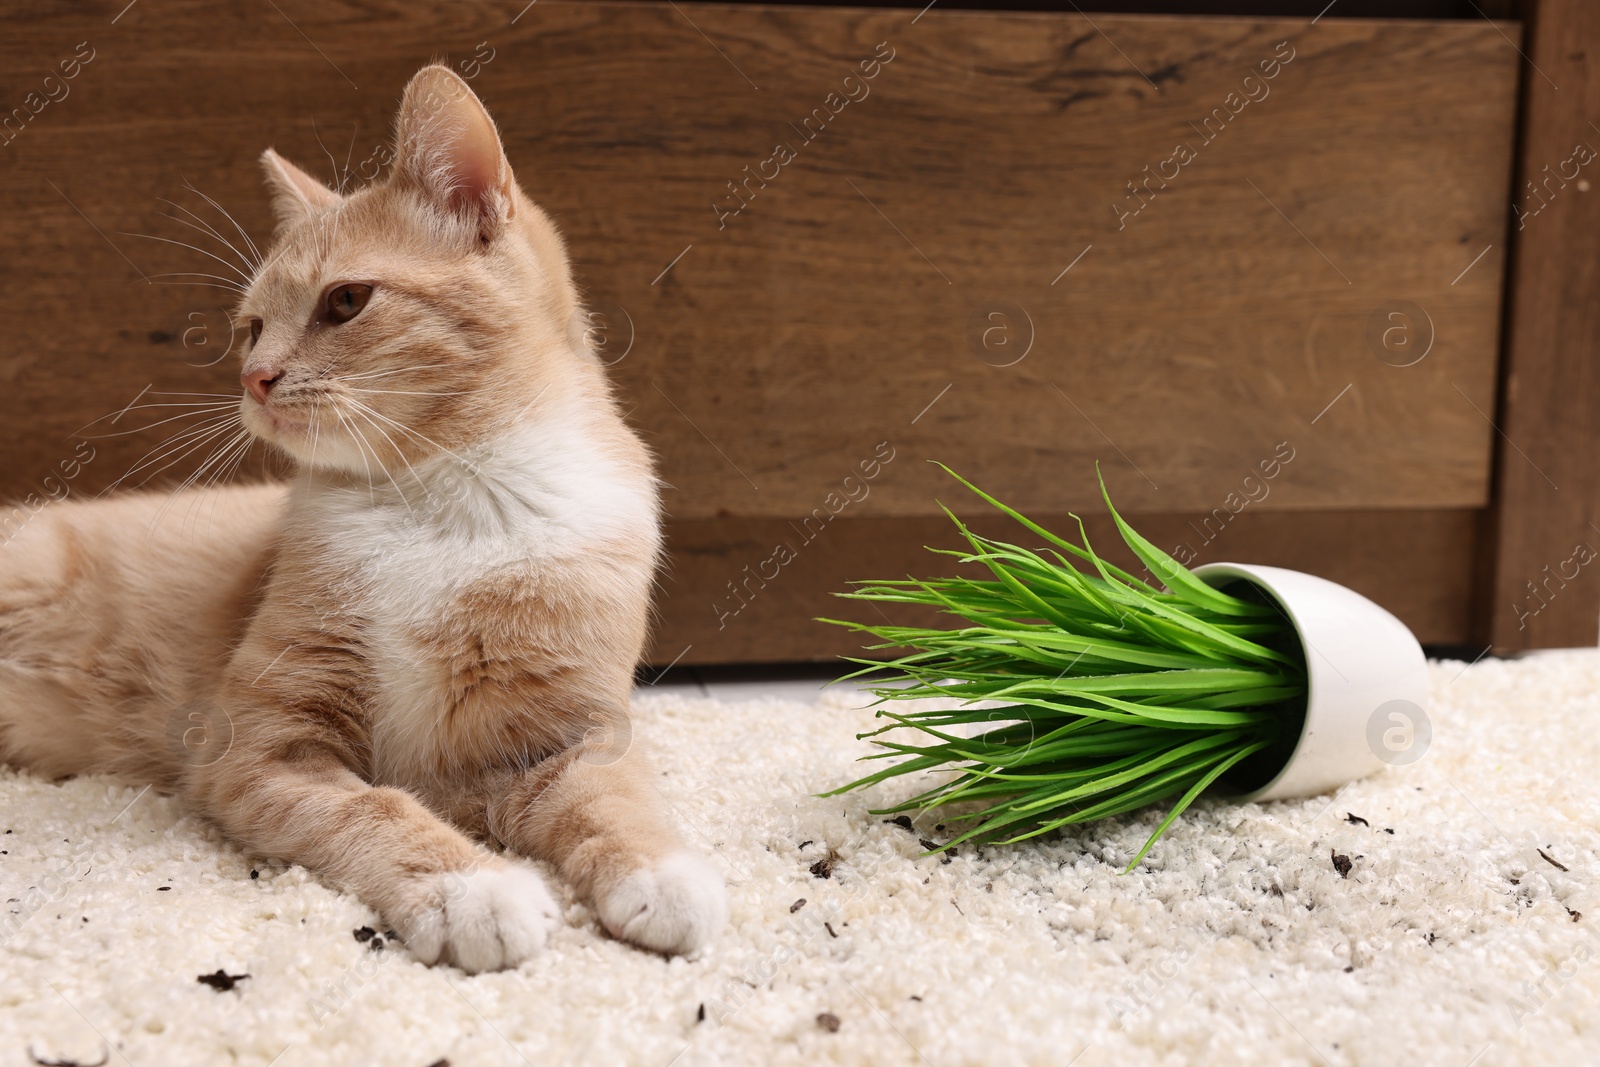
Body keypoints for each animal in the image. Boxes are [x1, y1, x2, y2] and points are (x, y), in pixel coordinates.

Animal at [0, 62, 726, 972]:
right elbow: (374, 808)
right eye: (251, 327)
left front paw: (662, 871)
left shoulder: (576, 732)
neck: (445, 502)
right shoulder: (263, 747)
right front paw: (472, 886)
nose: (255, 378)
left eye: (345, 301)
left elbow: (616, 801)